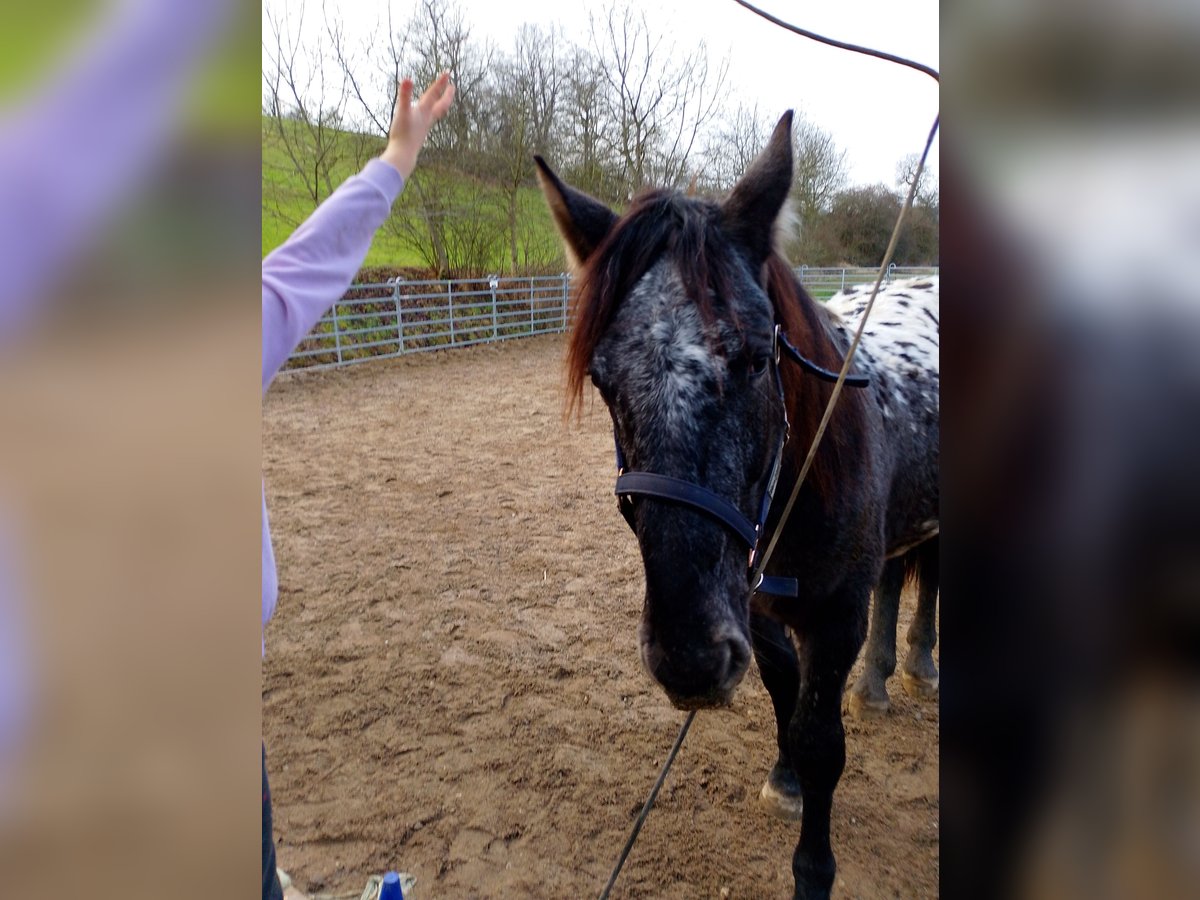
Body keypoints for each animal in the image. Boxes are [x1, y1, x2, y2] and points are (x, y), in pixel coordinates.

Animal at [535, 114, 936, 900]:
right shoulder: (753, 607)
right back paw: (881, 682)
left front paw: (814, 869)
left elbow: (821, 740)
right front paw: (784, 781)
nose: (688, 660)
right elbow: (784, 694)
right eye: (601, 379)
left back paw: (917, 665)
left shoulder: (833, 619)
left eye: (755, 358)